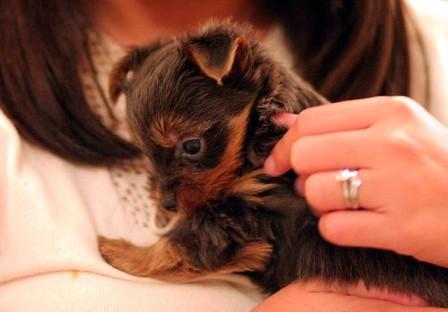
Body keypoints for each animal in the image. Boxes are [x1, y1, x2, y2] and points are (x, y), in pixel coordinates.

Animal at [99, 22, 448, 308]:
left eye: (192, 146)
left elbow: (184, 243)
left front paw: (121, 252)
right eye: (146, 153)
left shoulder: (246, 215)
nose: (168, 203)